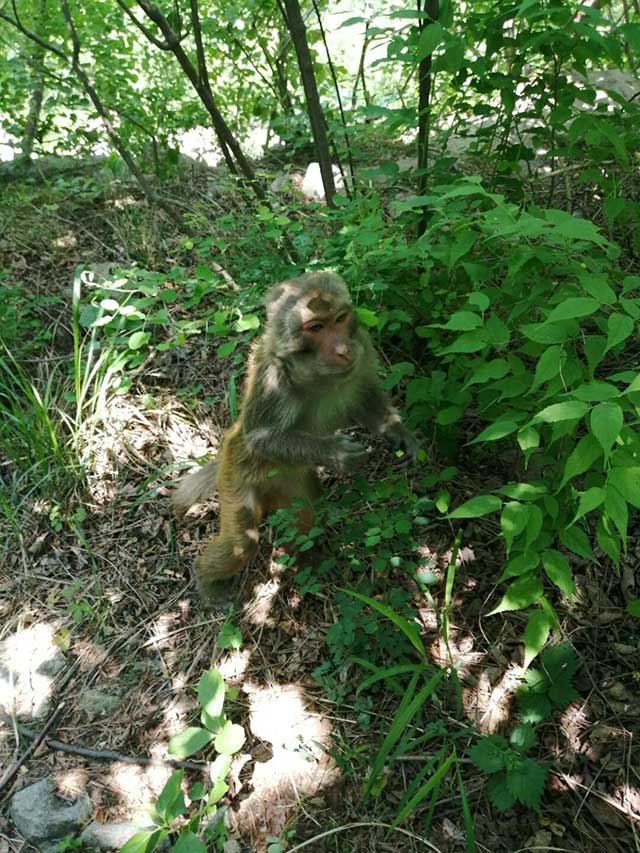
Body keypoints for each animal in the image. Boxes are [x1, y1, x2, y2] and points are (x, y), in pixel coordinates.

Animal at [172, 270, 420, 604]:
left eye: (340, 319)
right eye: (316, 328)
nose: (343, 350)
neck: (318, 373)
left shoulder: (363, 347)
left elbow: (364, 397)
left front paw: (397, 432)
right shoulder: (274, 379)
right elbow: (260, 437)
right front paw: (336, 453)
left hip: (294, 486)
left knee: (306, 516)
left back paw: (301, 560)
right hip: (235, 478)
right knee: (241, 544)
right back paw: (207, 580)